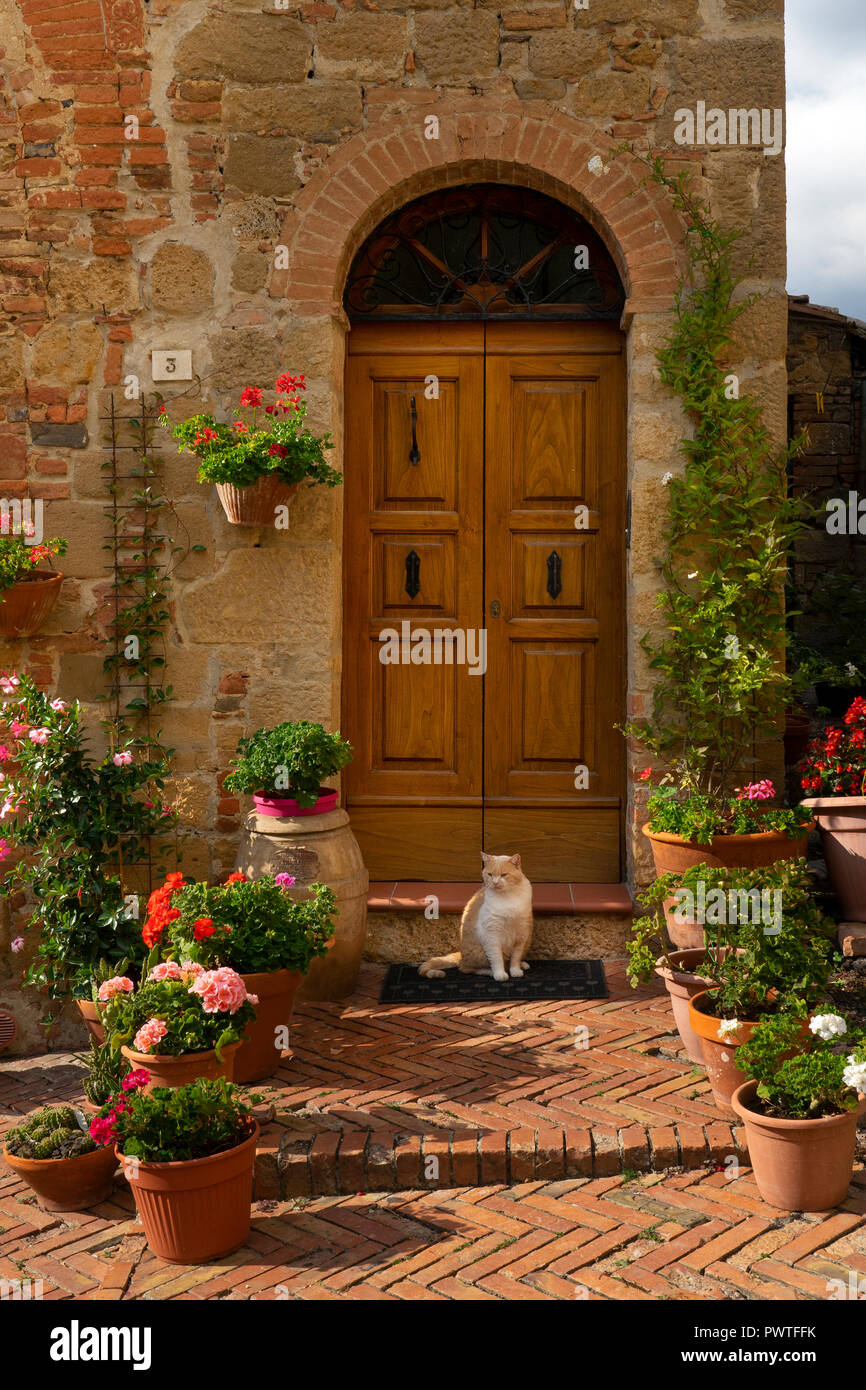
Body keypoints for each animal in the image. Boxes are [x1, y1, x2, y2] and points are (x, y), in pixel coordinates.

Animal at [419, 850, 530, 984]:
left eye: (504, 875)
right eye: (490, 874)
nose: (495, 882)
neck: (508, 897)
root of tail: (461, 955)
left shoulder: (521, 934)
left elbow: (515, 958)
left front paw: (515, 970)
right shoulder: (492, 935)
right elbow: (497, 958)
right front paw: (499, 973)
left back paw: (521, 965)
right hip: (478, 952)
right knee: (468, 968)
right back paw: (490, 972)